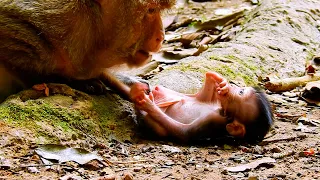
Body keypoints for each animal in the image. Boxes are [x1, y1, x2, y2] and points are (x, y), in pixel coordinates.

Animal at [131, 71, 274, 143]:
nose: (233, 86)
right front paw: (219, 80)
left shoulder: (213, 120)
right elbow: (203, 98)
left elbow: (184, 133)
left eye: (241, 92)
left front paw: (148, 104)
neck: (222, 112)